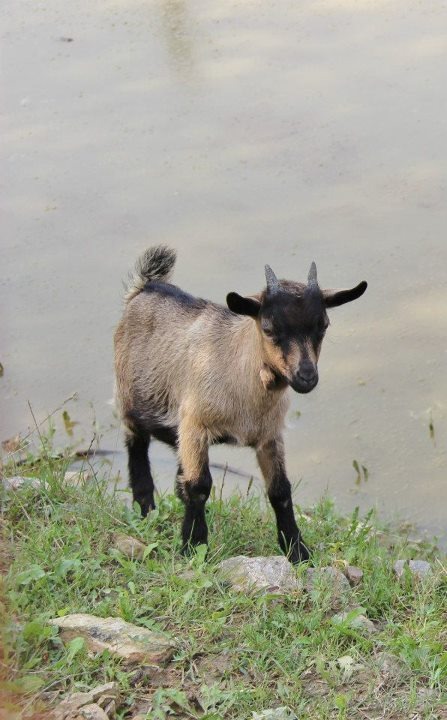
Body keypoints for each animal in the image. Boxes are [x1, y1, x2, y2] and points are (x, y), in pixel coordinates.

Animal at [114, 246, 368, 564]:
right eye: (269, 328)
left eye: (323, 325)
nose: (306, 377)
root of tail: (146, 286)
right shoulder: (195, 425)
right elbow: (199, 486)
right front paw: (193, 547)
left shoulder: (269, 436)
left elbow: (280, 490)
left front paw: (297, 550)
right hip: (130, 402)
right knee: (136, 448)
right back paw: (146, 510)